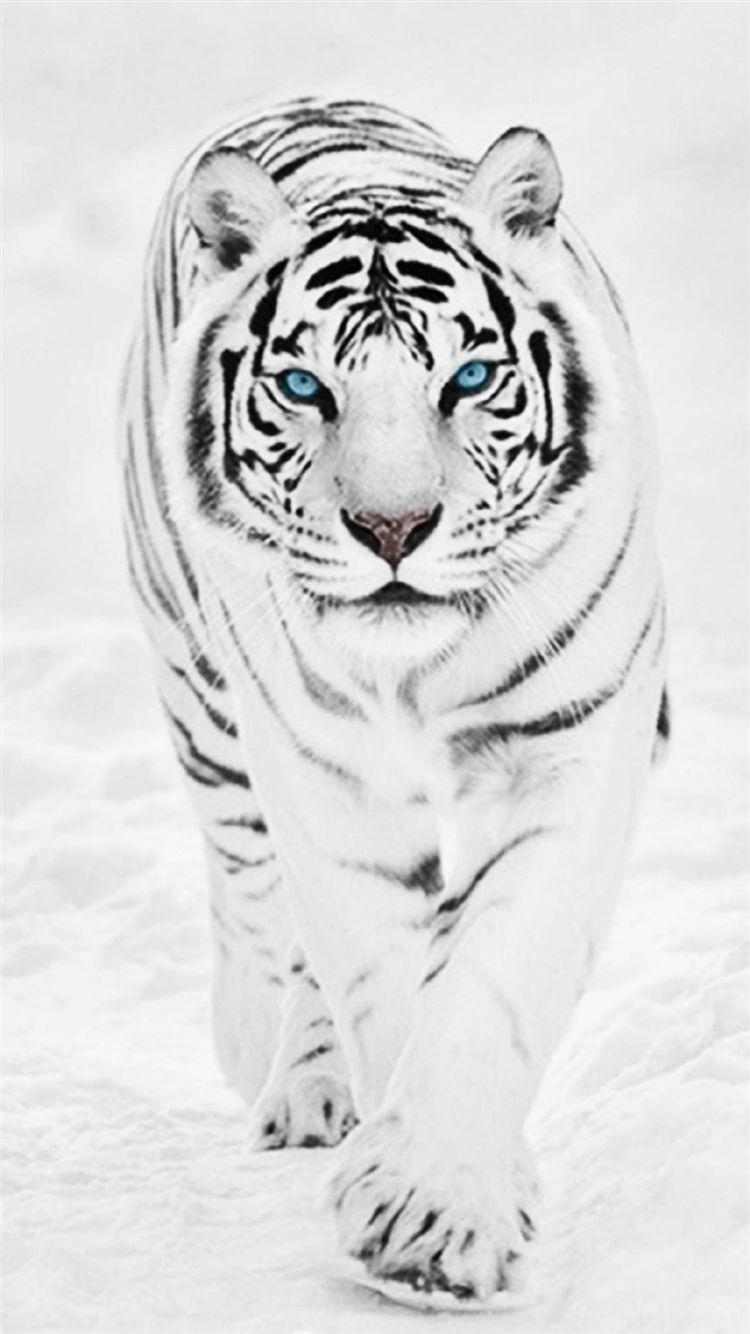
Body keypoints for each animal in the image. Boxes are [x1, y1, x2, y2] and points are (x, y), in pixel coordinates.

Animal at [119, 97, 668, 1309]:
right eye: (304, 388)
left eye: (467, 380)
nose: (392, 529)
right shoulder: (326, 782)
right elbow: (375, 968)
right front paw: (429, 1201)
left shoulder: (572, 746)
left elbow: (496, 974)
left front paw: (440, 1213)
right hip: (203, 698)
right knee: (254, 898)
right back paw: (279, 1067)